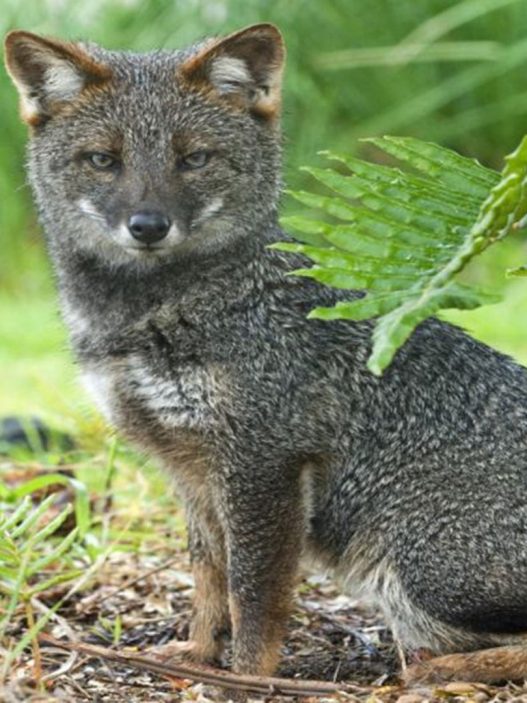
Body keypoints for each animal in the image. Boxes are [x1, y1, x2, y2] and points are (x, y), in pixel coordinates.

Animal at [5, 23, 527, 688]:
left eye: (194, 159)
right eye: (103, 160)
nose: (148, 225)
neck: (146, 319)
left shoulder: (264, 461)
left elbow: (253, 595)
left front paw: (248, 678)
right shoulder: (191, 470)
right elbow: (208, 578)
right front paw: (199, 658)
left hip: (416, 567)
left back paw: (435, 672)